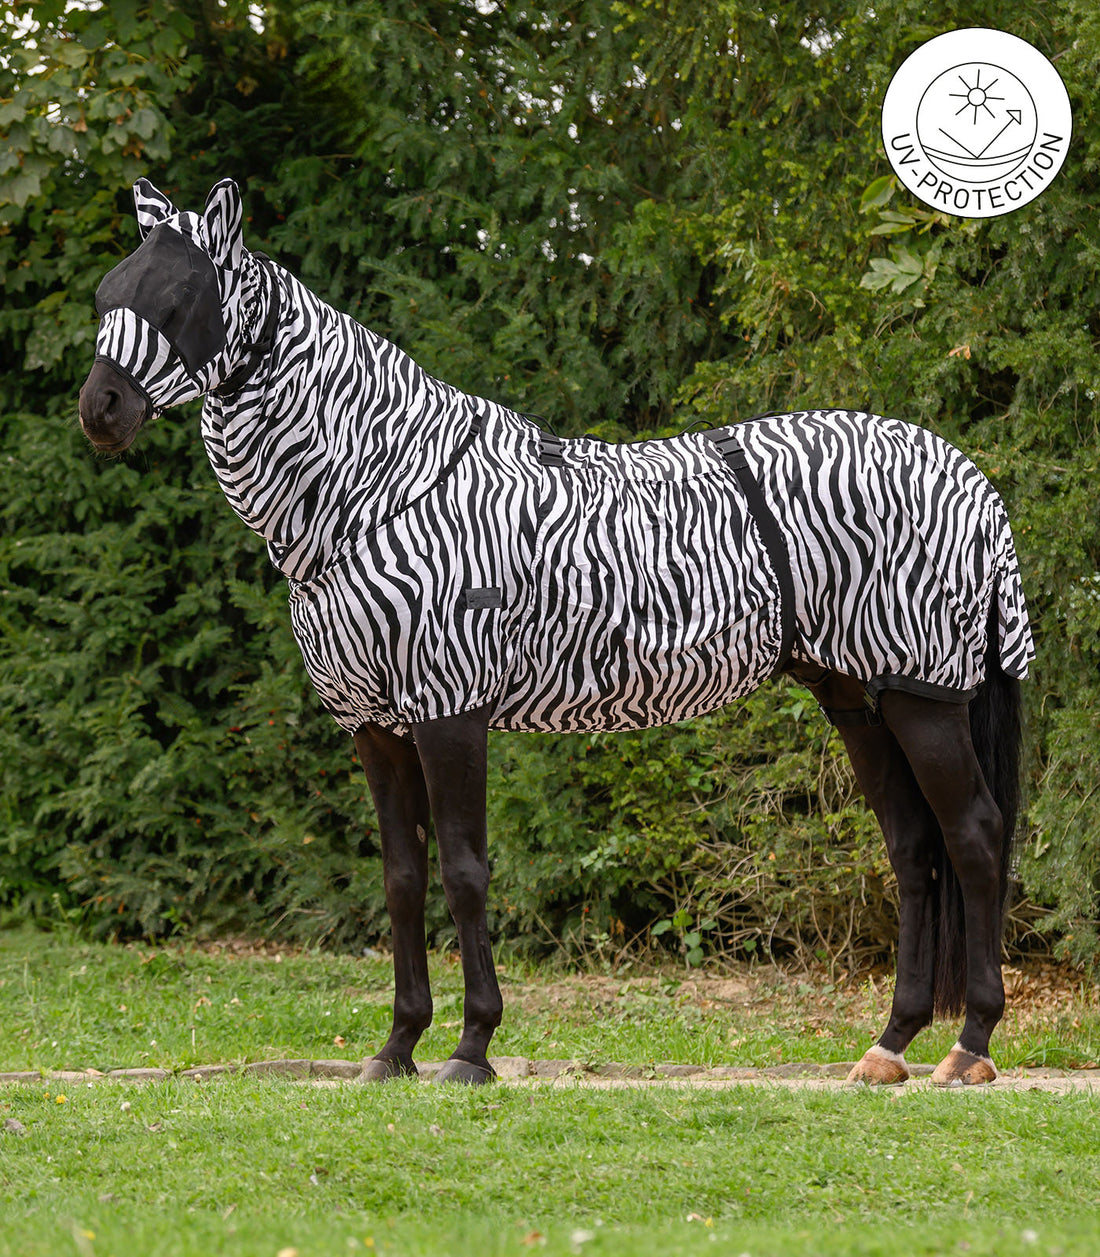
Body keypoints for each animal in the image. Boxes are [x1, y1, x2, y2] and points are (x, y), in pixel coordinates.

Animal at [79, 177, 1034, 1087]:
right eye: (106, 294)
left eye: (180, 298)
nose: (100, 410)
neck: (377, 487)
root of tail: (970, 477)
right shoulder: (375, 728)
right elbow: (401, 881)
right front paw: (397, 1047)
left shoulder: (449, 709)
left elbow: (464, 872)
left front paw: (472, 1047)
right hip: (857, 696)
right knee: (913, 846)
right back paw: (891, 1044)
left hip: (922, 697)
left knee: (975, 836)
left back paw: (970, 1044)